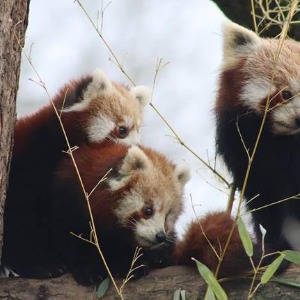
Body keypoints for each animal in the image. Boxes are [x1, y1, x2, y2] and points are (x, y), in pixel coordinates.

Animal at [1, 70, 152, 278]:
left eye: (138, 130)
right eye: (123, 130)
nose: (137, 149)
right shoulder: (29, 161)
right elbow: (21, 216)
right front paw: (40, 264)